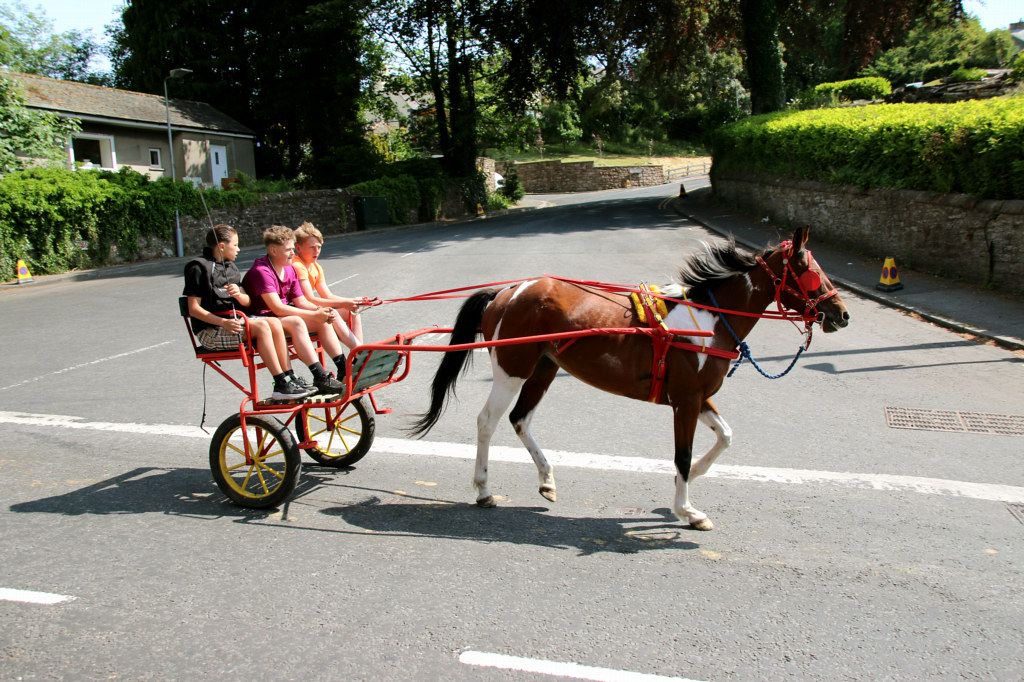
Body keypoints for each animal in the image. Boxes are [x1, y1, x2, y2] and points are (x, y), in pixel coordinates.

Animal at [407, 225, 847, 528]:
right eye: (808, 270)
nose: (841, 313)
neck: (708, 321)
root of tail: (507, 291)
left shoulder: (695, 396)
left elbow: (724, 436)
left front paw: (690, 483)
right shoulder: (685, 401)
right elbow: (682, 455)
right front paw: (687, 509)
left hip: (544, 369)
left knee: (520, 419)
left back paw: (547, 479)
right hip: (512, 371)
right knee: (487, 422)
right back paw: (483, 490)